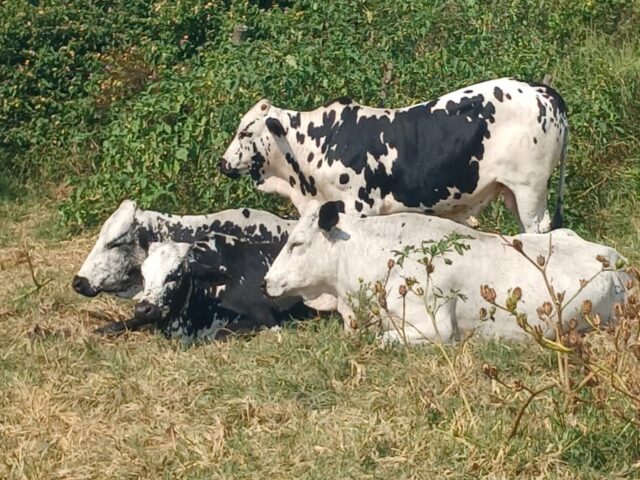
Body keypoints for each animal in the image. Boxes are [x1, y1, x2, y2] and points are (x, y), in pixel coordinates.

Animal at [220, 78, 568, 233]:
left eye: (245, 132)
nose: (222, 163)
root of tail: (542, 90)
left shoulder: (359, 206)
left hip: (530, 190)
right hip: (513, 192)